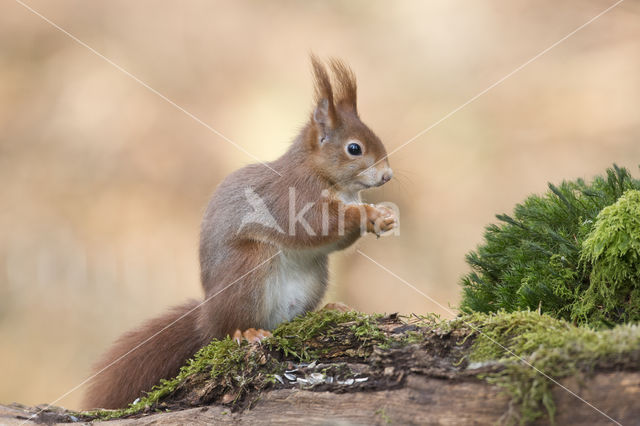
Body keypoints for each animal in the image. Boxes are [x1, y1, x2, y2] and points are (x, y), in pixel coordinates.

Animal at [84, 56, 396, 410]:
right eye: (354, 149)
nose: (387, 175)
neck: (331, 180)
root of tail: (206, 320)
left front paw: (383, 218)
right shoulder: (292, 198)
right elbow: (316, 225)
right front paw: (368, 214)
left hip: (314, 278)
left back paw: (328, 310)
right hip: (249, 266)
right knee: (230, 329)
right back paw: (245, 333)